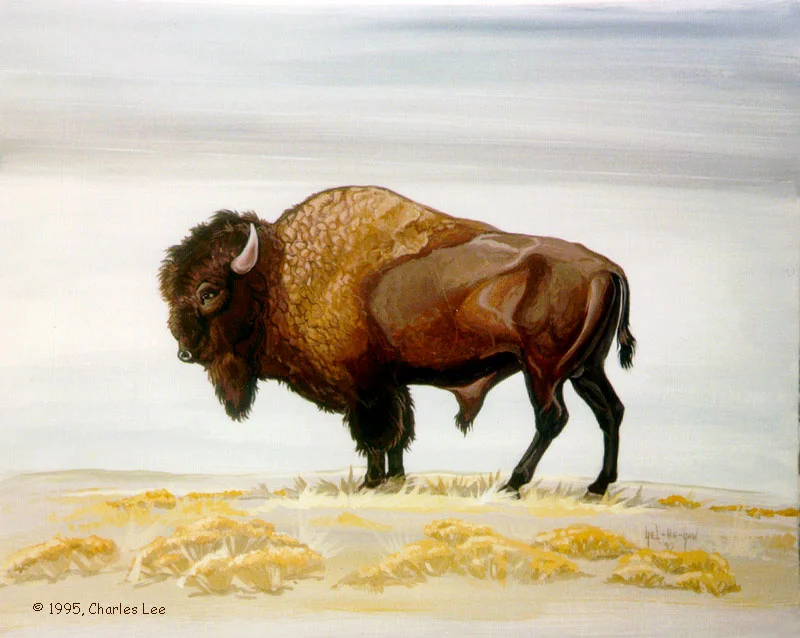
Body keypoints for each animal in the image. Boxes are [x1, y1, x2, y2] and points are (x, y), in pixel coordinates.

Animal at [159, 186, 635, 495]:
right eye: (169, 288)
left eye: (208, 292)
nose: (184, 352)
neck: (277, 274)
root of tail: (607, 268)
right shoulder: (393, 384)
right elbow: (401, 431)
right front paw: (396, 478)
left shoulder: (366, 388)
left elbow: (376, 434)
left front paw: (373, 481)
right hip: (585, 369)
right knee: (610, 411)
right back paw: (598, 486)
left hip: (544, 370)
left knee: (552, 418)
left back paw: (514, 482)